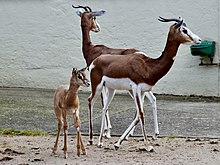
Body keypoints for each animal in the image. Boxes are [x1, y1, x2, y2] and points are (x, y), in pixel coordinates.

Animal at [88, 16, 202, 150]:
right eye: (184, 30)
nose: (199, 40)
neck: (148, 66)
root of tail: (95, 61)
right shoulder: (136, 89)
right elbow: (141, 114)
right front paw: (148, 146)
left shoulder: (142, 91)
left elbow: (138, 115)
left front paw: (117, 143)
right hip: (97, 87)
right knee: (90, 101)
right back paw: (91, 139)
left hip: (111, 89)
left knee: (104, 108)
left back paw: (100, 142)